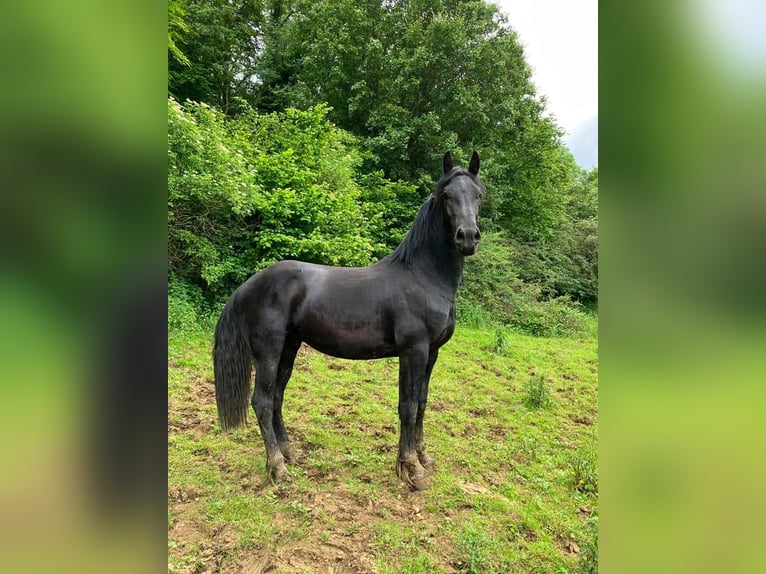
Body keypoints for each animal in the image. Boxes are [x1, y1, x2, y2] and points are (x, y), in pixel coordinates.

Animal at [213, 152, 484, 490]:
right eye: (446, 195)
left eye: (478, 195)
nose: (467, 237)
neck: (423, 276)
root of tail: (249, 285)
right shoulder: (414, 351)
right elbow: (407, 407)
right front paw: (412, 469)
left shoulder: (432, 352)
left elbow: (421, 403)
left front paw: (422, 458)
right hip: (269, 351)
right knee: (261, 401)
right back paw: (277, 468)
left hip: (289, 347)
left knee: (276, 397)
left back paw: (290, 455)